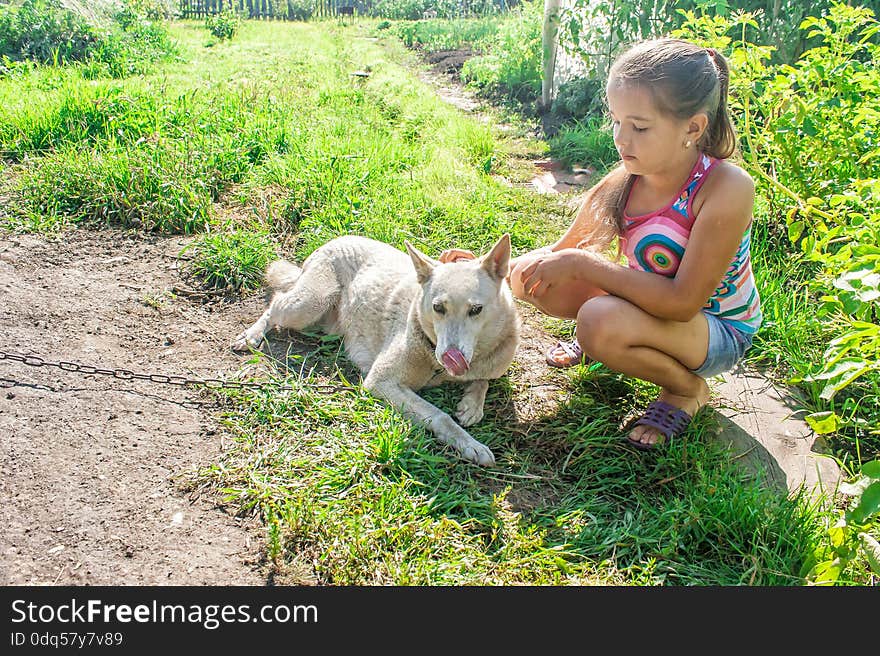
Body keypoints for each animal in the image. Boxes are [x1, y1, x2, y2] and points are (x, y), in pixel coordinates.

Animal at [234, 233, 524, 464]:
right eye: (438, 307)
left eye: (476, 310)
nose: (449, 358)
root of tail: (334, 240)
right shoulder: (381, 381)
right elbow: (440, 416)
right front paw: (470, 445)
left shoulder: (491, 364)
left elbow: (484, 380)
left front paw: (472, 404)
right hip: (309, 304)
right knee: (275, 304)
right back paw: (251, 335)